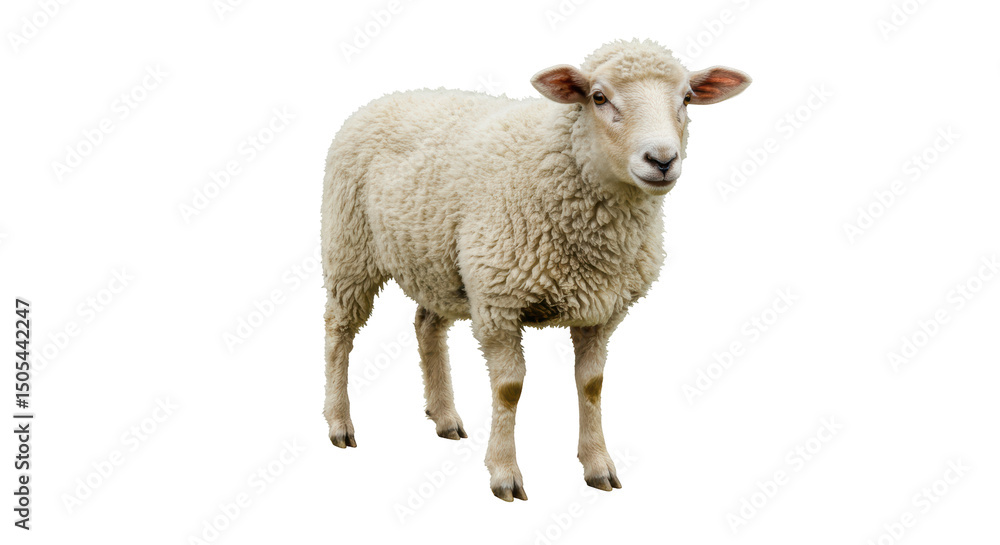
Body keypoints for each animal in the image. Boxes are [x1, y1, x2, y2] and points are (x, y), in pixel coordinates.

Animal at [321, 39, 751, 501]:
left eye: (687, 98)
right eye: (598, 97)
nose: (662, 159)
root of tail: (389, 97)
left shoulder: (602, 310)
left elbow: (592, 384)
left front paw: (598, 465)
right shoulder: (497, 303)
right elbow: (509, 390)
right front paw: (504, 473)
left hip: (436, 263)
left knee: (426, 326)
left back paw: (444, 416)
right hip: (349, 248)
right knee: (339, 332)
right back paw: (339, 423)